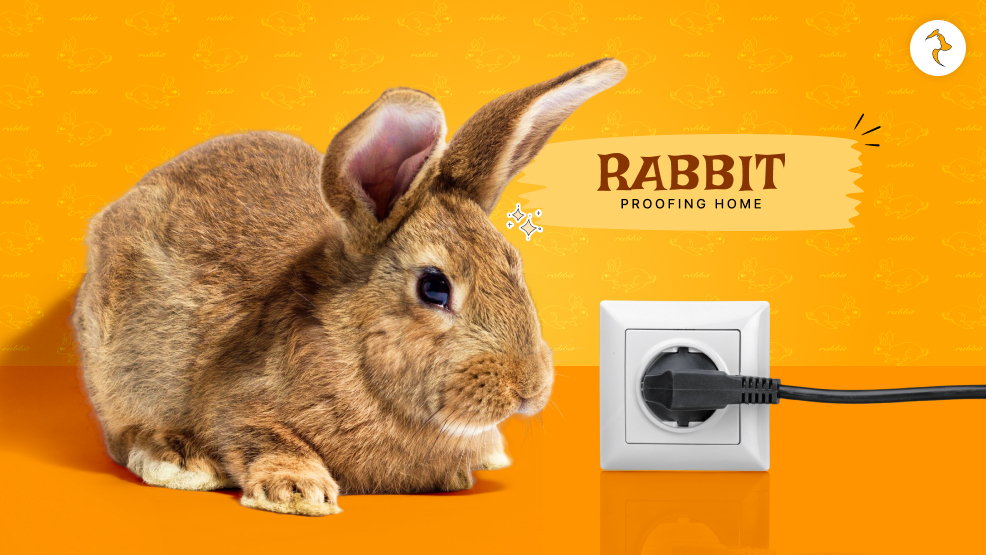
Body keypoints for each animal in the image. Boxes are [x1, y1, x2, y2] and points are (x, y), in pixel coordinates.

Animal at [73, 58, 627, 516]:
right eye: (434, 288)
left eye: (514, 264)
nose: (528, 388)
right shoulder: (236, 400)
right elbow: (258, 435)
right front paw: (299, 492)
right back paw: (178, 461)